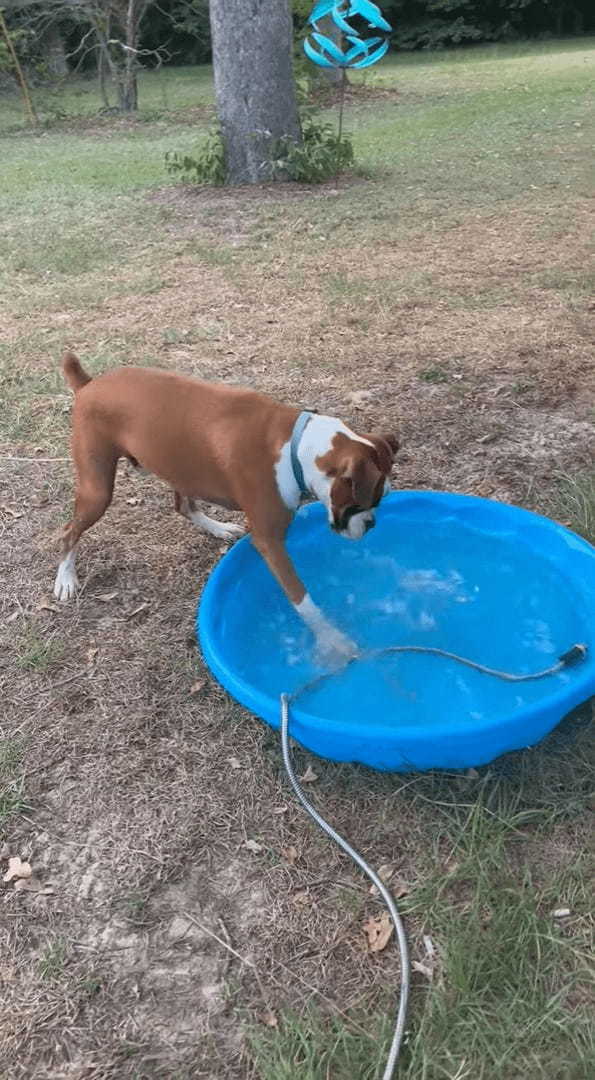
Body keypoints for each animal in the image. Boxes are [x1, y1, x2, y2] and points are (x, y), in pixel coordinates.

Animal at [55, 352, 397, 656]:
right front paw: (335, 641)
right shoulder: (269, 542)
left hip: (183, 469)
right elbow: (303, 600)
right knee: (68, 532)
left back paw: (217, 528)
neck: (295, 448)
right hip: (98, 492)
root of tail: (89, 383)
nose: (372, 524)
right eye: (365, 502)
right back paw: (66, 579)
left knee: (184, 506)